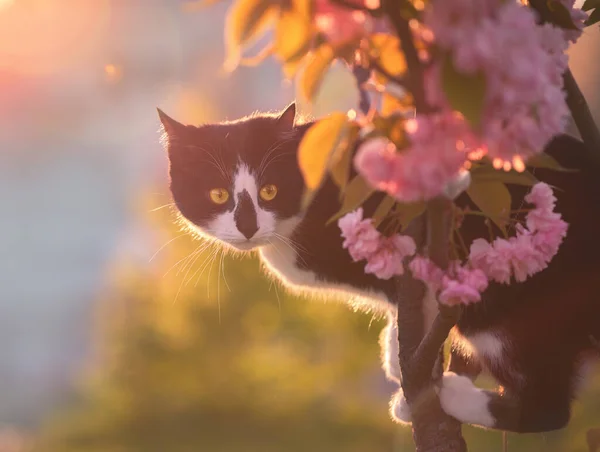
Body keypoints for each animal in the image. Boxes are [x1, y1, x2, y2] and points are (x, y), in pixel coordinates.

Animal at [158, 103, 600, 434]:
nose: (248, 226)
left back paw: (450, 396)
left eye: (269, 190)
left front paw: (413, 368)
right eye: (217, 194)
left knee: (550, 405)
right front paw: (398, 352)